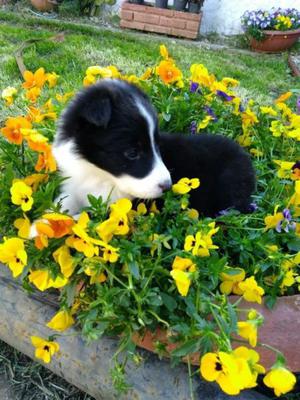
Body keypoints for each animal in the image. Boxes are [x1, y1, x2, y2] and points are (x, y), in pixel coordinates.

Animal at [52, 79, 254, 217]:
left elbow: (82, 218)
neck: (99, 174)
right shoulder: (73, 185)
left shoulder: (123, 206)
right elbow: (60, 206)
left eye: (157, 146)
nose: (168, 186)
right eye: (132, 153)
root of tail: (244, 155)